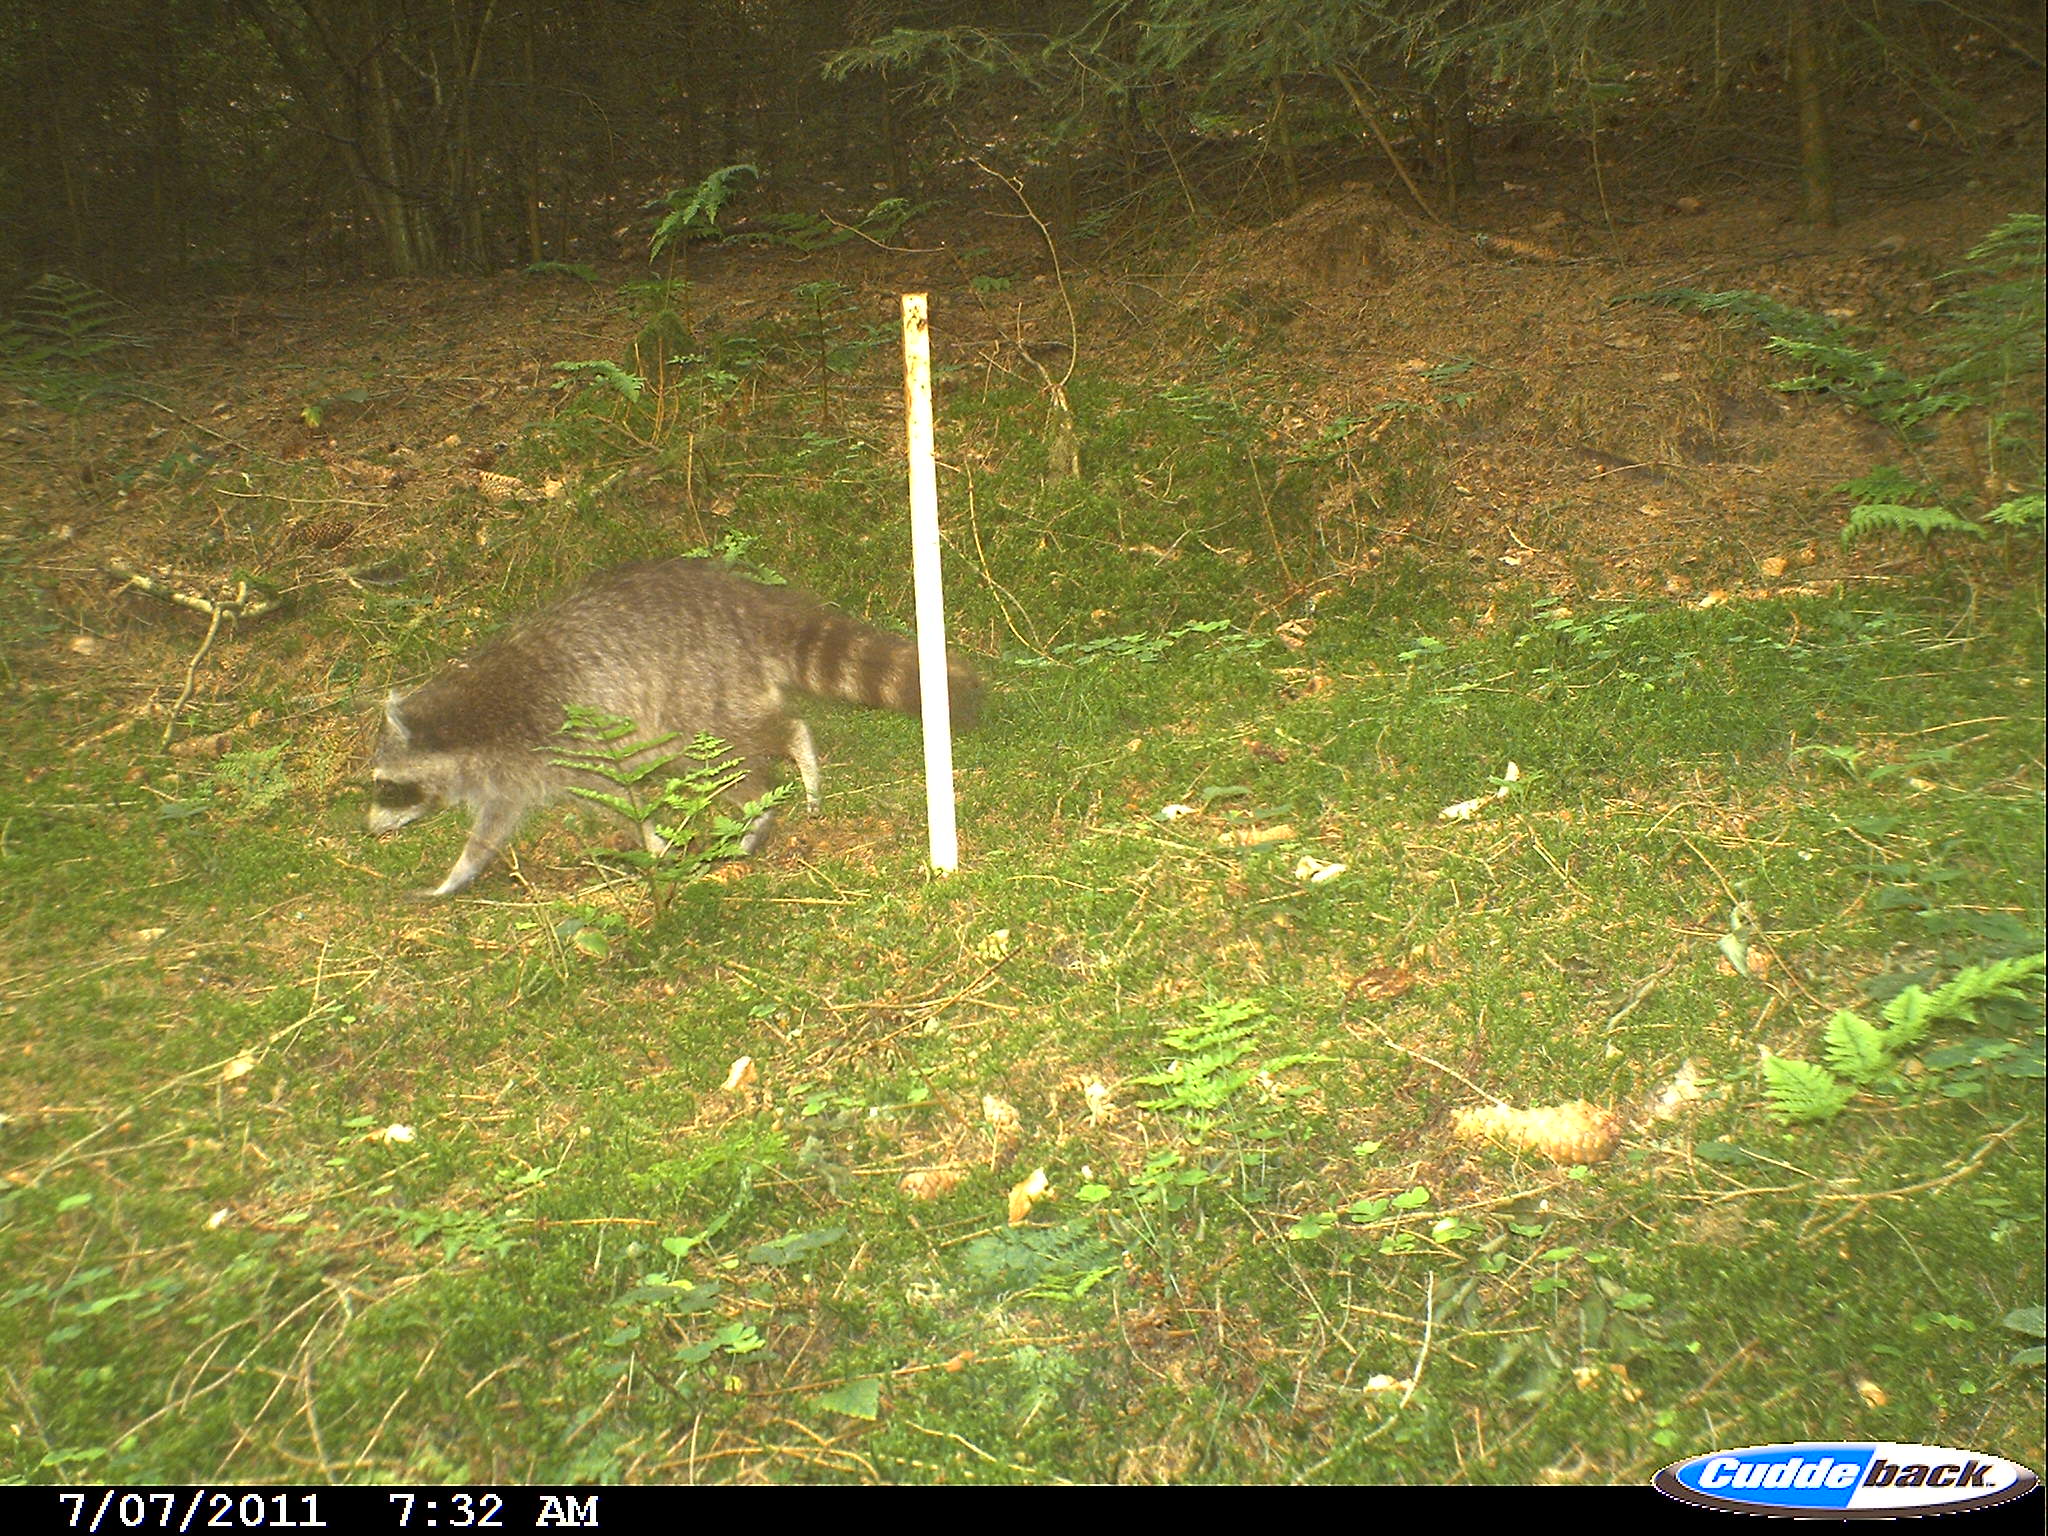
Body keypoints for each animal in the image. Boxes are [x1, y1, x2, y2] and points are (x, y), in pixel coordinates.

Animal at [367, 559, 980, 896]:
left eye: (384, 785)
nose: (368, 828)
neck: (461, 718)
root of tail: (737, 600)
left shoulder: (557, 744)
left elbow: (619, 795)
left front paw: (652, 843)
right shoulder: (517, 771)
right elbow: (494, 826)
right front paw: (461, 872)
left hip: (695, 684)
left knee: (744, 746)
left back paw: (772, 787)